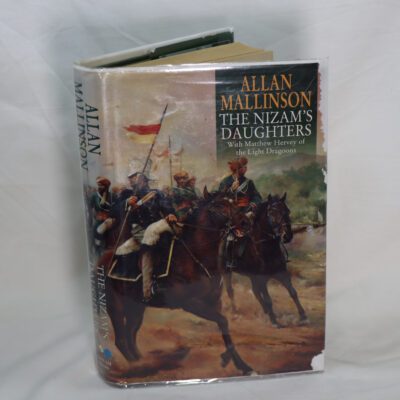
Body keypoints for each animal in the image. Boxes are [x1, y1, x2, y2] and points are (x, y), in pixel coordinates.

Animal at [97, 188, 254, 375]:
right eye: (220, 206)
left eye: (234, 203)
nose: (246, 222)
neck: (195, 255)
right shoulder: (190, 303)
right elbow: (223, 321)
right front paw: (232, 361)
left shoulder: (214, 301)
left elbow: (224, 326)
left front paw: (240, 364)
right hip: (116, 307)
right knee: (121, 339)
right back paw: (139, 366)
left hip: (136, 308)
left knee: (130, 335)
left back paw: (141, 360)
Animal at [223, 193, 308, 328]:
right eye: (272, 212)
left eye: (287, 211)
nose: (287, 236)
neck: (267, 248)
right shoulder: (261, 278)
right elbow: (268, 299)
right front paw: (274, 321)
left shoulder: (282, 273)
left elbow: (293, 292)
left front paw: (303, 316)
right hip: (226, 271)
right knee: (230, 290)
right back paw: (235, 310)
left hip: (251, 276)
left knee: (255, 292)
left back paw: (264, 311)